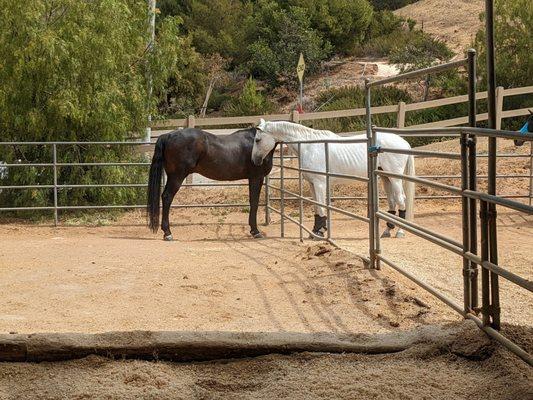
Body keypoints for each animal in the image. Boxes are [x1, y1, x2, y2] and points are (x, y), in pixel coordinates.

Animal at [250, 119, 416, 238]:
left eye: (257, 140)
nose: (255, 161)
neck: (310, 147)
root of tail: (404, 143)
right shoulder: (312, 184)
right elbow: (316, 207)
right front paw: (316, 230)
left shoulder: (320, 184)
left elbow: (321, 206)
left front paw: (320, 232)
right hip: (384, 176)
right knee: (392, 200)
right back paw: (387, 231)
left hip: (395, 178)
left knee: (401, 199)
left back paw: (400, 232)